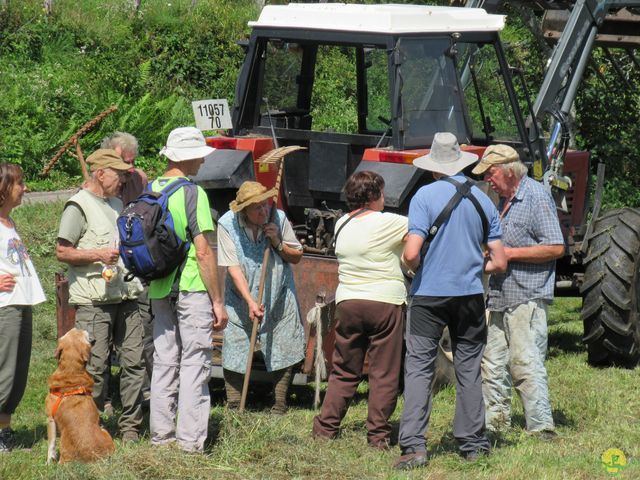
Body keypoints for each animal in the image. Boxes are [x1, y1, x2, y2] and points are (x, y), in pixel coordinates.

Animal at [45, 328, 115, 464]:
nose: (94, 339)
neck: (71, 371)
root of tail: (94, 456)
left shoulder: (50, 419)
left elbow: (51, 446)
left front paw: (48, 462)